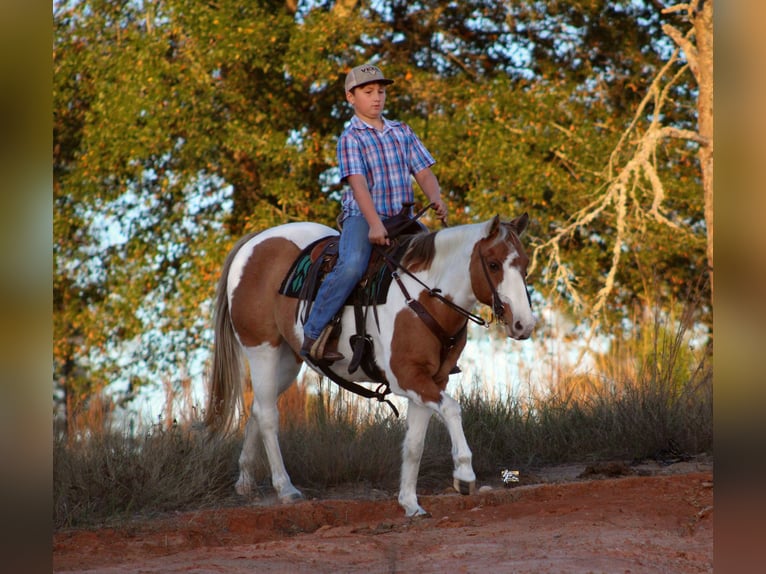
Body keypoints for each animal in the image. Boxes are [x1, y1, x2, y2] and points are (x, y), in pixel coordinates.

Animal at [207, 215, 536, 516]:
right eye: (493, 264)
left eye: (524, 264)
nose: (524, 324)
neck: (427, 296)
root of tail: (254, 243)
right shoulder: (407, 377)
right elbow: (453, 409)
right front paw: (464, 475)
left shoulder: (430, 381)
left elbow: (415, 443)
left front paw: (410, 503)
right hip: (262, 350)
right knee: (268, 416)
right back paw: (285, 488)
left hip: (287, 361)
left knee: (258, 408)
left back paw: (245, 481)